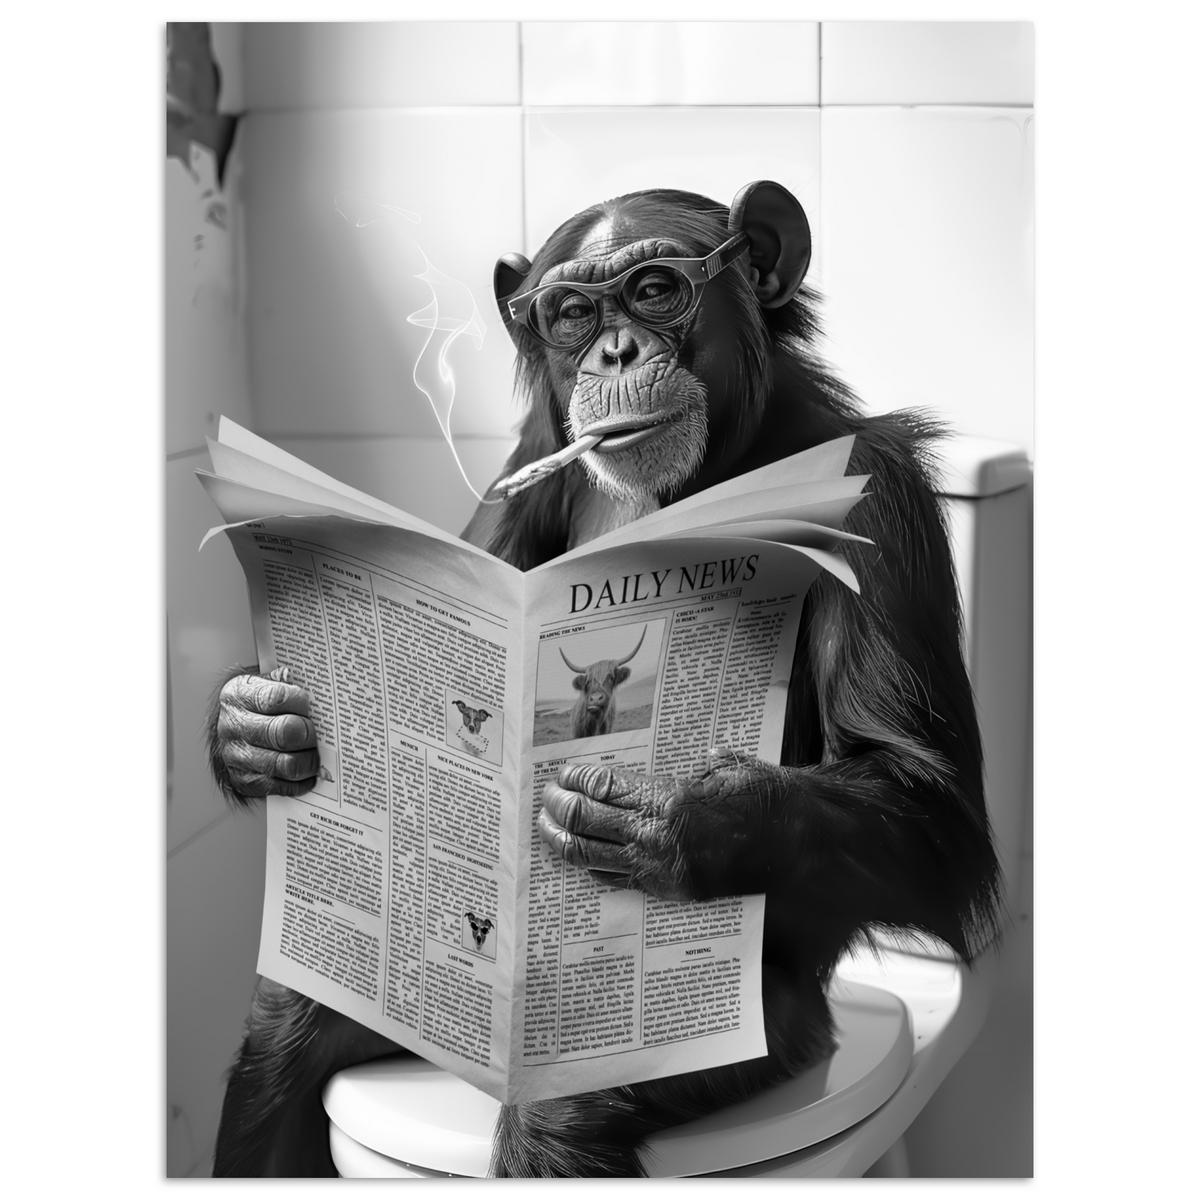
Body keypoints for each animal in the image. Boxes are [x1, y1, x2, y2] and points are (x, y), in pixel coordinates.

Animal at [207, 180, 1000, 1177]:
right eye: (572, 314)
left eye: (656, 289)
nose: (616, 350)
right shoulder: (520, 467)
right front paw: (259, 727)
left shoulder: (878, 496)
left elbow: (925, 799)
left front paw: (669, 820)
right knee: (288, 1028)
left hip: (775, 1031)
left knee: (563, 1111)